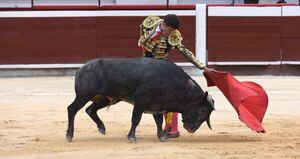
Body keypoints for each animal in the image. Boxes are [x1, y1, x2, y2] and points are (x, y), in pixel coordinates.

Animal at [66, 57, 214, 143]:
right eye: (202, 110)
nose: (192, 129)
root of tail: (82, 68)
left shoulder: (157, 105)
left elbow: (158, 121)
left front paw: (161, 136)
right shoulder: (140, 100)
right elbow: (136, 119)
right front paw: (132, 137)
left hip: (104, 99)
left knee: (90, 110)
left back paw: (102, 128)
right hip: (83, 95)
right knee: (72, 109)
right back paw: (69, 135)